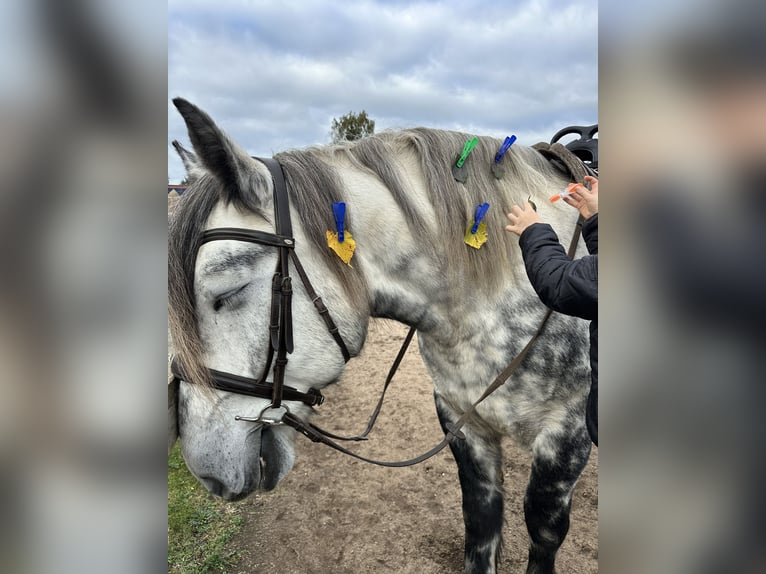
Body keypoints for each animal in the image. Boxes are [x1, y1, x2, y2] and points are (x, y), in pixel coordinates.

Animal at [168, 98, 592, 574]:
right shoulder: (462, 420)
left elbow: (543, 529)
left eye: (227, 293)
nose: (206, 471)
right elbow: (481, 521)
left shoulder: (567, 434)